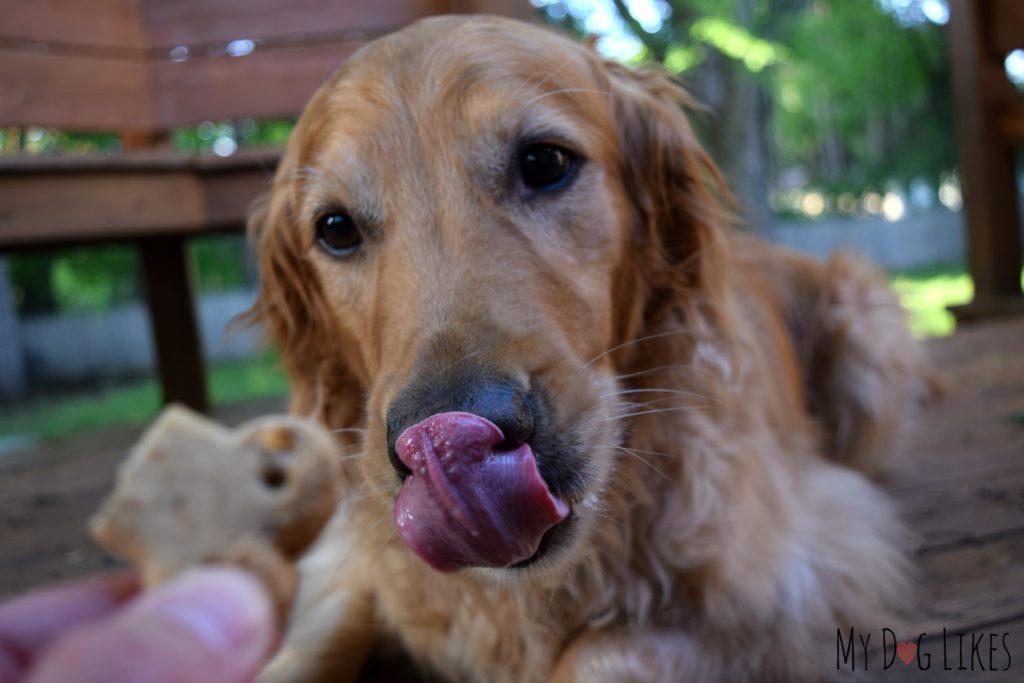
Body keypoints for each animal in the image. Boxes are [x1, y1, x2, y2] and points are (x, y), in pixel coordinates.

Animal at [245, 15, 929, 683]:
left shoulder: (791, 573)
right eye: (335, 229)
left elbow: (597, 655)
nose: (446, 440)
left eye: (545, 162)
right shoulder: (353, 573)